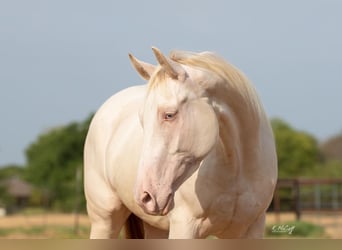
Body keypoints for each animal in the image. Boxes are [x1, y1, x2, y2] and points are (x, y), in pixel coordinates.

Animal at [83, 46, 278, 238]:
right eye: (142, 119)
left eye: (169, 115)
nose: (144, 196)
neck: (237, 169)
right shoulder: (185, 226)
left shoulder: (251, 229)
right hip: (105, 220)